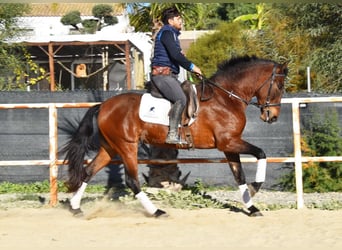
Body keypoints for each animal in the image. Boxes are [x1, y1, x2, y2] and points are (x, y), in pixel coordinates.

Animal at [62, 54, 288, 217]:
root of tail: (103, 106)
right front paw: (255, 187)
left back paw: (75, 207)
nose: (273, 116)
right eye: (279, 86)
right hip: (127, 146)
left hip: (110, 147)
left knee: (88, 171)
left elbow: (239, 175)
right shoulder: (229, 142)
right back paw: (156, 211)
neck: (226, 98)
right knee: (132, 181)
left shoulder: (229, 146)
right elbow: (261, 153)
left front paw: (251, 207)